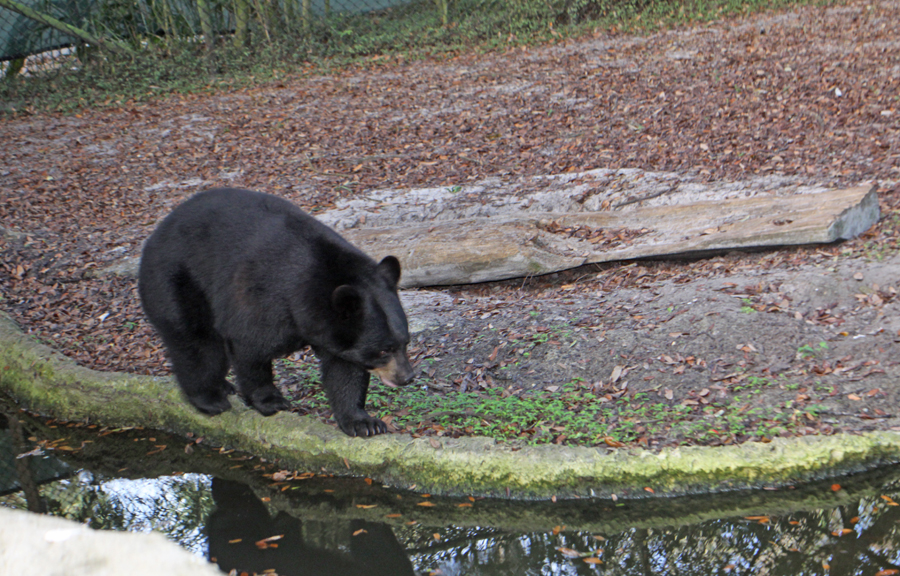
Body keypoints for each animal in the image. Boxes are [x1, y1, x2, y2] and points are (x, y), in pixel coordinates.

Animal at [138, 189, 414, 436]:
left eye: (405, 343)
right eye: (384, 350)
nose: (406, 377)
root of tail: (155, 234)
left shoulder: (338, 329)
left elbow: (345, 368)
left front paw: (364, 423)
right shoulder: (264, 297)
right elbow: (251, 345)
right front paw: (270, 401)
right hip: (178, 279)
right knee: (195, 340)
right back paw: (209, 397)